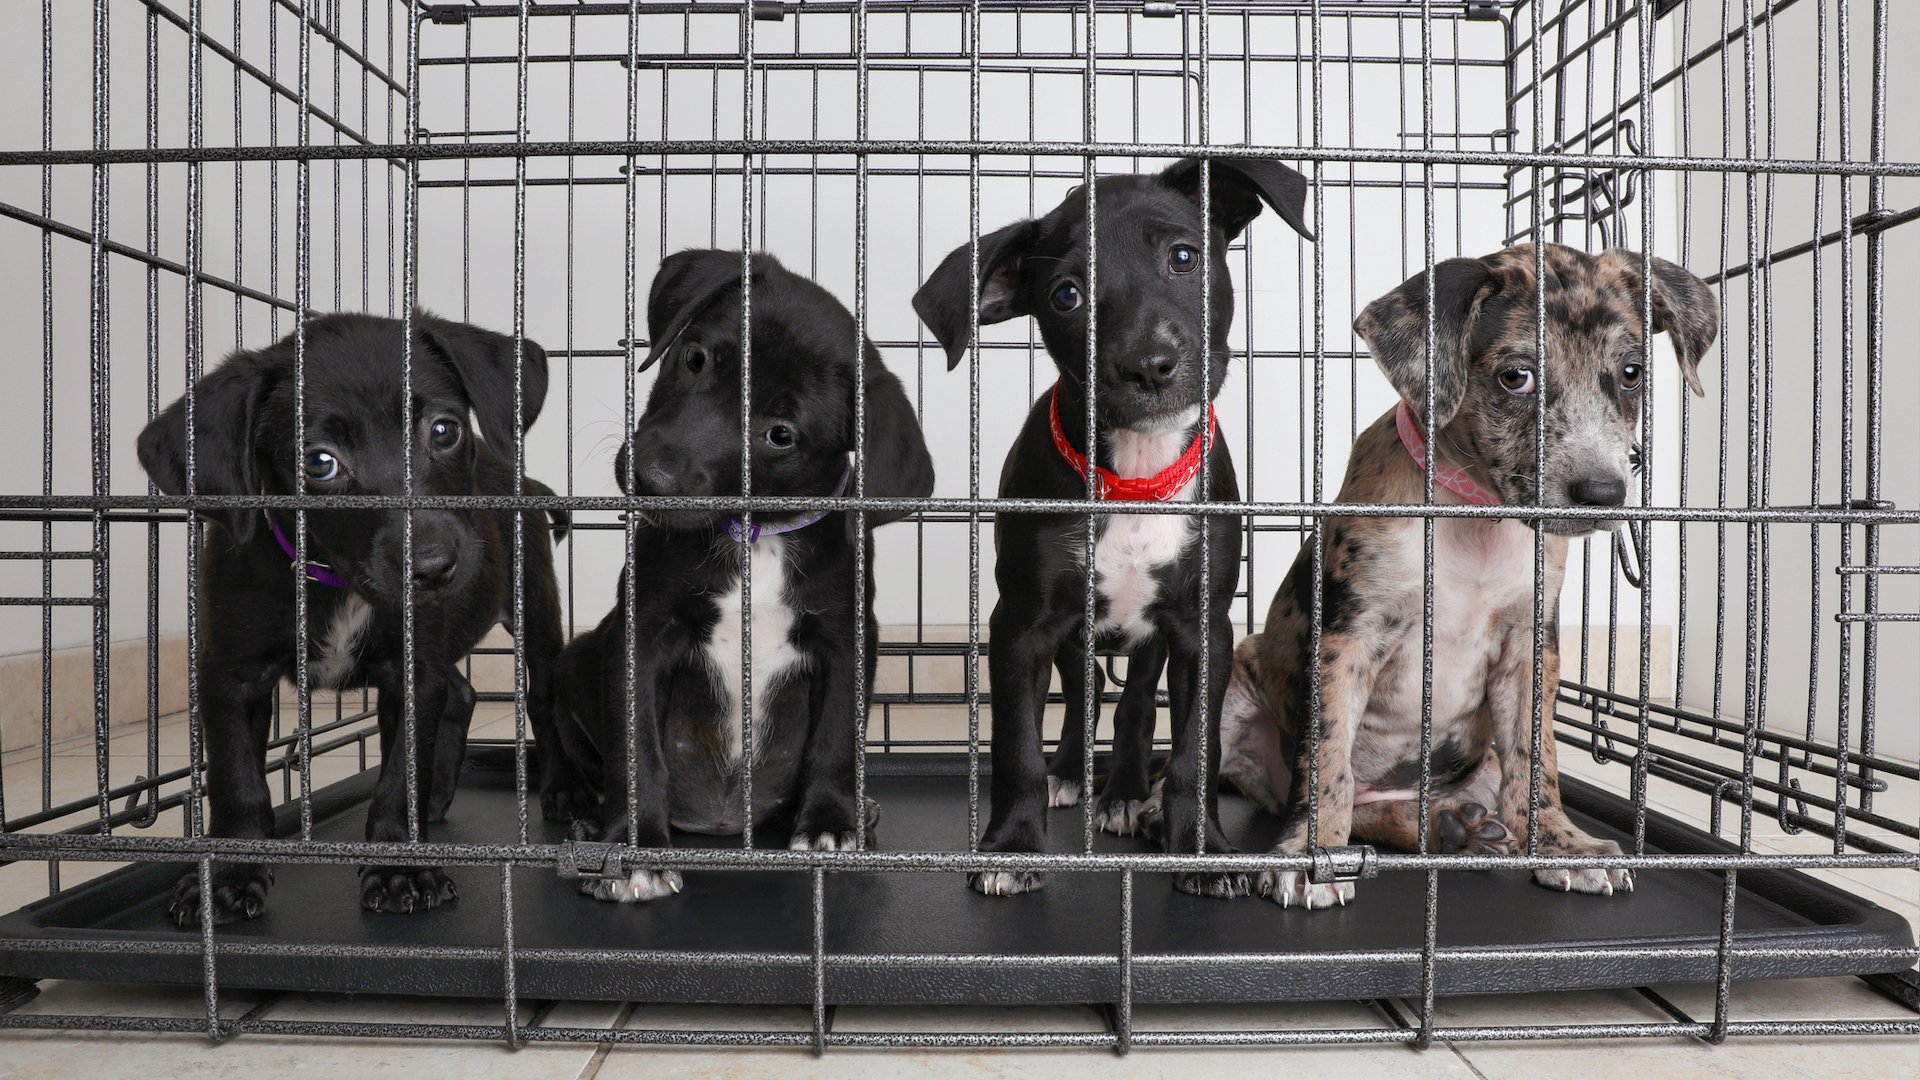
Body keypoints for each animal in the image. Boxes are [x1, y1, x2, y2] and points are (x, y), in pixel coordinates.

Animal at [137, 311, 576, 926]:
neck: (335, 581)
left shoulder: (411, 668)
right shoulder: (230, 676)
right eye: (320, 462)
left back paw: (558, 793)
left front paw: (399, 867)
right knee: (462, 692)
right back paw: (438, 797)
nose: (435, 566)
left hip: (532, 604)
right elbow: (235, 780)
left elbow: (398, 775)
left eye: (445, 430)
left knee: (542, 698)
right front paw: (227, 876)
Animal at [549, 249, 936, 899]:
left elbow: (836, 739)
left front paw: (830, 825)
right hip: (574, 663)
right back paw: (577, 807)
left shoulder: (846, 639)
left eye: (781, 434)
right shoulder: (641, 635)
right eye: (695, 357)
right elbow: (638, 750)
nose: (653, 478)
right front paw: (636, 848)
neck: (751, 536)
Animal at [906, 155, 1313, 895]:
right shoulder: (1023, 624)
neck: (1136, 476)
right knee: (1088, 691)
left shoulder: (1201, 627)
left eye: (1183, 257)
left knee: (1133, 704)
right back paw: (1072, 773)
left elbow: (1192, 750)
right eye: (1066, 296)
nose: (1148, 365)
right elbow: (1016, 745)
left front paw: (1203, 851)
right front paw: (1013, 847)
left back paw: (1123, 790)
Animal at [1221, 242, 1720, 899]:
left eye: (1632, 372)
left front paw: (1562, 844)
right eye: (1515, 377)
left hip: (1476, 769)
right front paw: (1312, 856)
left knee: (1413, 807)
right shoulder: (1349, 639)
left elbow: (1537, 763)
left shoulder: (1529, 646)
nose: (1604, 492)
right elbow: (1329, 760)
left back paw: (1454, 829)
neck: (1476, 514)